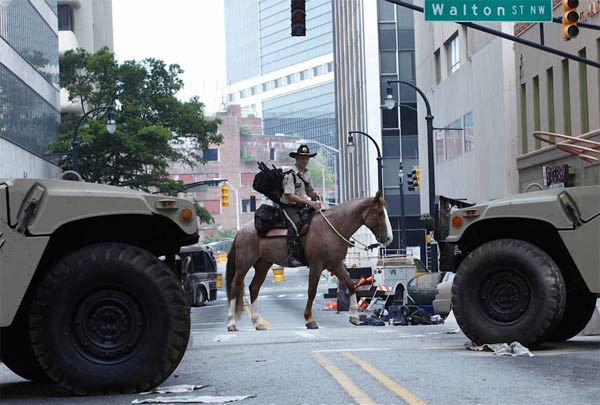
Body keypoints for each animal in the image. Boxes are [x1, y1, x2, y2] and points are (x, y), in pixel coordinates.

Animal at [226, 191, 394, 330]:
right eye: (377, 213)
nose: (389, 238)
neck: (333, 227)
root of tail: (241, 231)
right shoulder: (316, 265)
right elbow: (311, 291)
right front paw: (309, 320)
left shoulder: (335, 265)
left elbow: (351, 285)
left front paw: (354, 317)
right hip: (243, 265)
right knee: (235, 287)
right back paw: (231, 323)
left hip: (262, 265)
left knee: (254, 288)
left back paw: (258, 323)